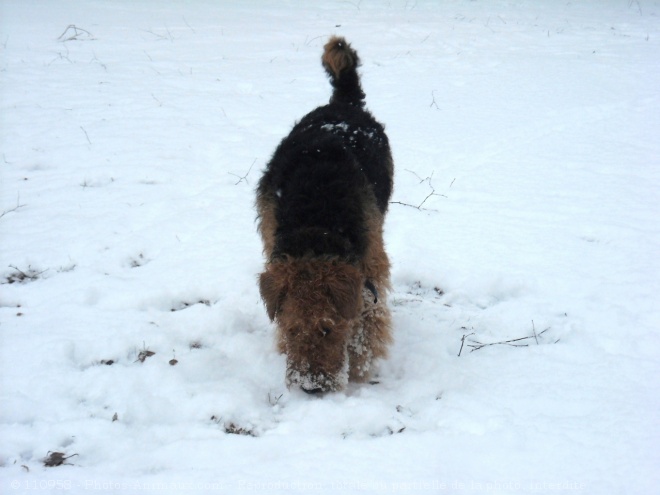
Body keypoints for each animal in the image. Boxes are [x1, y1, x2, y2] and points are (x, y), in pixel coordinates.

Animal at [256, 36, 392, 396]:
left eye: (328, 329)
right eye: (291, 330)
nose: (311, 387)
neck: (315, 226)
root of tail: (343, 102)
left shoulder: (370, 267)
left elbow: (367, 324)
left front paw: (358, 368)